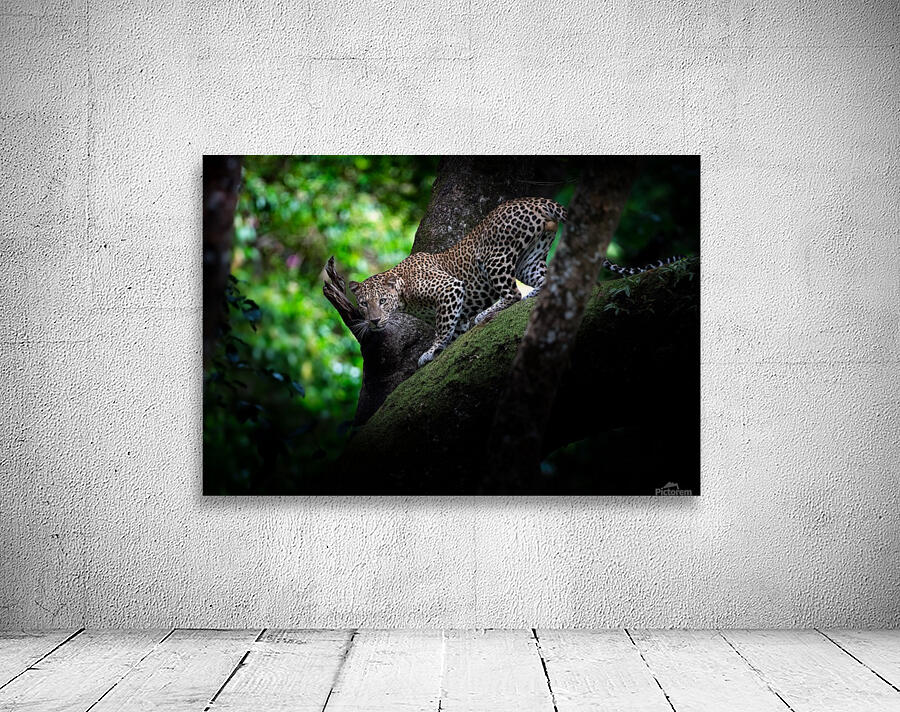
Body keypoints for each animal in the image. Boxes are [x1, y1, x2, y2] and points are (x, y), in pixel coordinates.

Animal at [349, 197, 567, 367]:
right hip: (529, 261)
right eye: (363, 304)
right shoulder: (458, 314)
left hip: (494, 257)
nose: (374, 321)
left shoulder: (448, 288)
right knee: (546, 280)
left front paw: (431, 351)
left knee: (513, 294)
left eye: (382, 301)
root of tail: (535, 200)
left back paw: (485, 314)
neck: (404, 297)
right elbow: (452, 330)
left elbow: (442, 328)